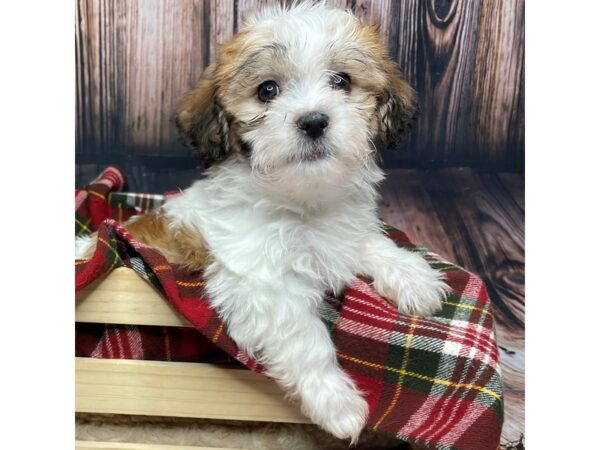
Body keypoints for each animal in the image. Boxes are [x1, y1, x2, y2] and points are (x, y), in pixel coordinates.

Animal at [75, 0, 448, 442]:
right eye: (267, 90)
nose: (313, 120)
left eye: (342, 81)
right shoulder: (258, 282)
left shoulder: (338, 232)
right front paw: (336, 401)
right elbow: (304, 334)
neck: (300, 201)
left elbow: (368, 241)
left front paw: (413, 276)